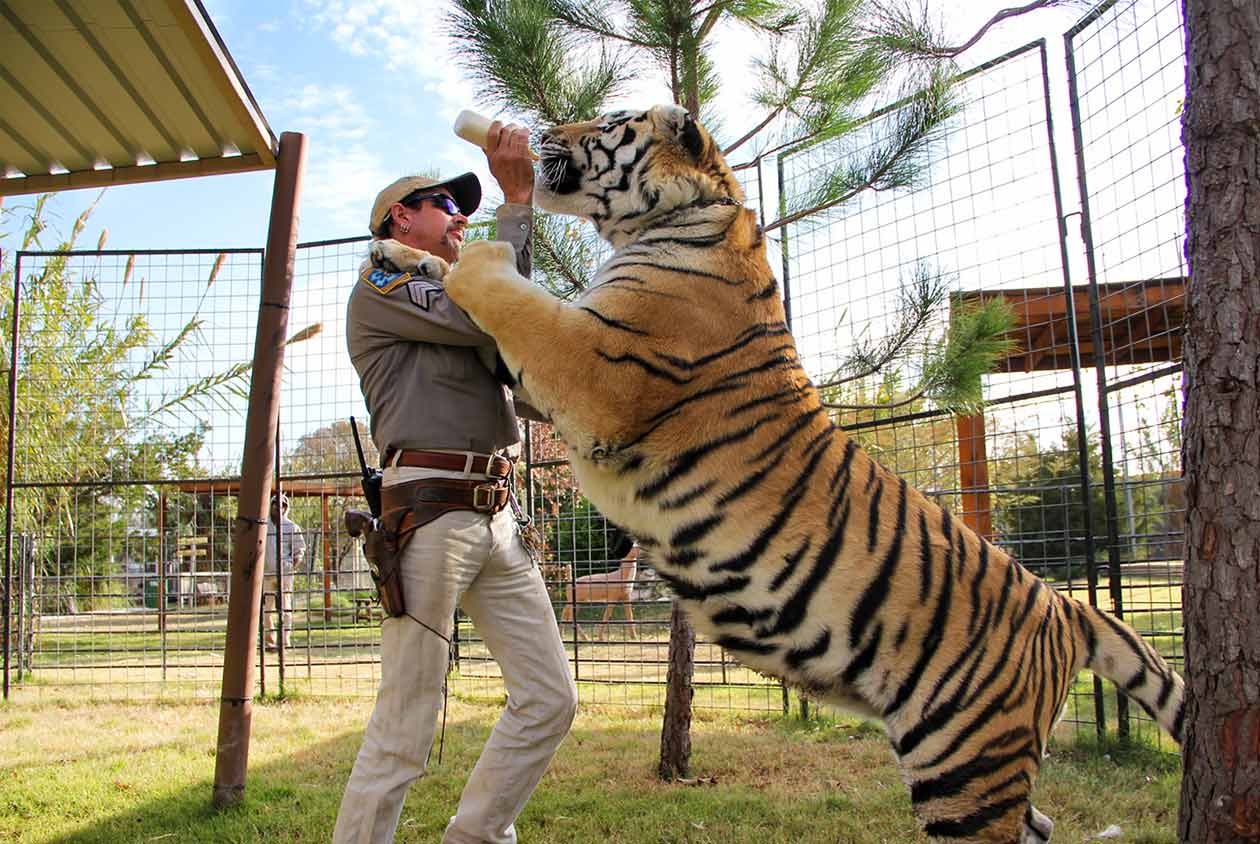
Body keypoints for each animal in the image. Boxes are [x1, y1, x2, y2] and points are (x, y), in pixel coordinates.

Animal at [398, 104, 1185, 844]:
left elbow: (510, 295)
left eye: (611, 121)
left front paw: (468, 255)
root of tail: (1064, 606)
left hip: (964, 760)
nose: (541, 133)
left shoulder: (592, 367)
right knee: (1040, 824)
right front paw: (405, 254)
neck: (678, 216)